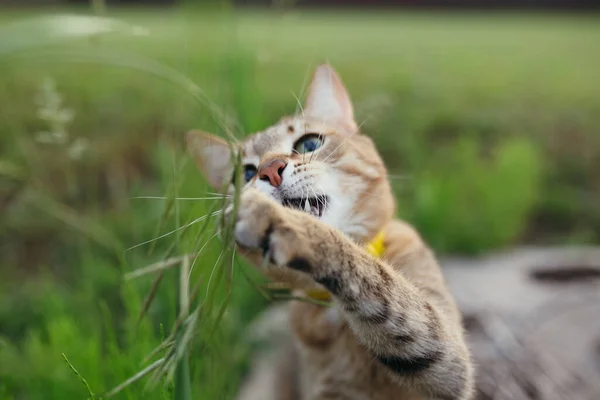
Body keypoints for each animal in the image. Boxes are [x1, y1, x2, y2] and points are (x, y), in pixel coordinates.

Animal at [188, 64, 474, 398]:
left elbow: (372, 275)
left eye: (309, 144)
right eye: (244, 174)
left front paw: (281, 221)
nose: (269, 170)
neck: (337, 306)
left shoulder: (450, 363)